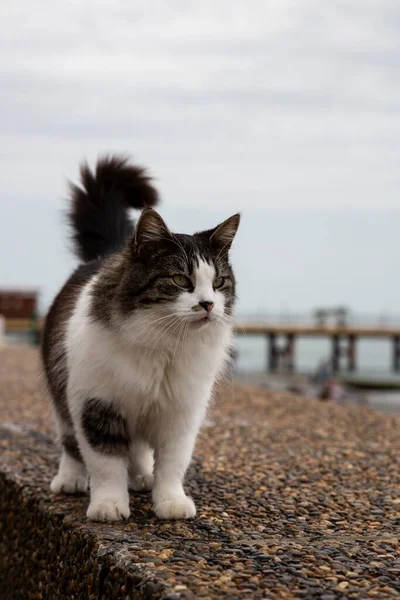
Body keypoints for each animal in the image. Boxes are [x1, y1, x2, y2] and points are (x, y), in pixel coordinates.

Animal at [41, 155, 239, 520]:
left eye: (219, 283)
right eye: (181, 279)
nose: (208, 304)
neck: (164, 342)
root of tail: (106, 254)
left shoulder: (180, 413)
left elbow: (173, 464)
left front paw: (170, 501)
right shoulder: (96, 405)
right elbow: (105, 464)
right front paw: (108, 505)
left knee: (138, 451)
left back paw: (142, 476)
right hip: (62, 391)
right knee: (70, 443)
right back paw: (70, 479)